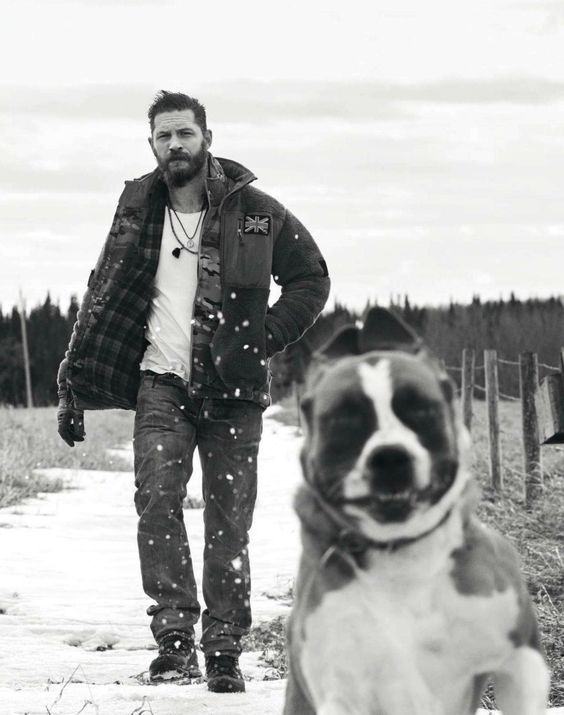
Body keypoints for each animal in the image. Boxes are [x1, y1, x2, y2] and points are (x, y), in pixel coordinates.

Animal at [284, 308, 548, 715]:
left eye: (421, 410)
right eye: (344, 419)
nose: (390, 456)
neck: (402, 558)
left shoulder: (520, 659)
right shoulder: (342, 691)